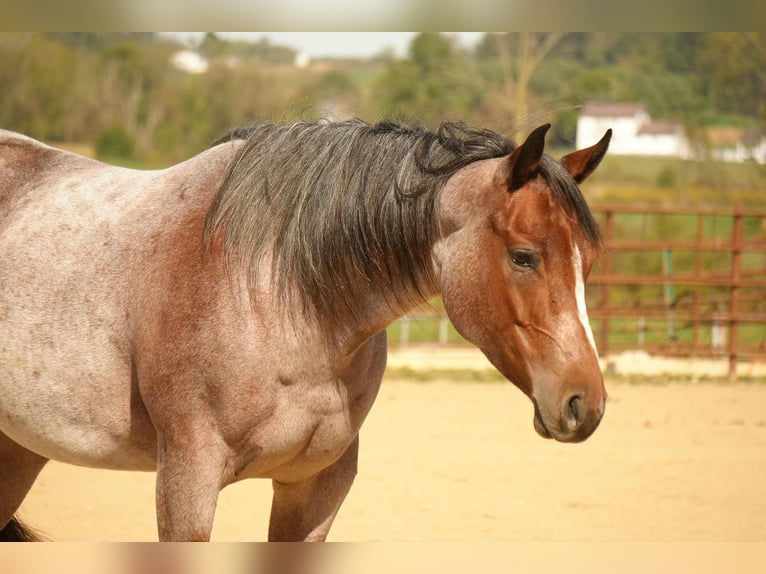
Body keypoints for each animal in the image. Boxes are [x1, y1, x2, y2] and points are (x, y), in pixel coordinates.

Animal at [0, 118, 611, 541]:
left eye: (588, 261)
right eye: (524, 257)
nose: (585, 403)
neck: (281, 296)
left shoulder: (317, 487)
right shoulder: (186, 481)